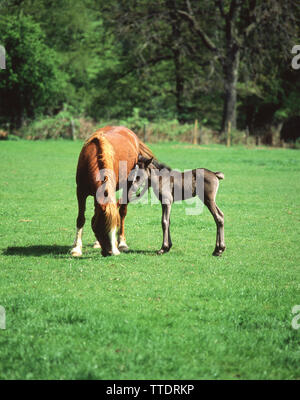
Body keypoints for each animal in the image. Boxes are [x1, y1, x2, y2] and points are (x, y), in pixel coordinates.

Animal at [70, 125, 155, 256]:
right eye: (102, 226)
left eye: (115, 226)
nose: (112, 252)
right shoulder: (80, 191)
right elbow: (81, 218)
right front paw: (76, 248)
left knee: (122, 212)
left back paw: (122, 243)